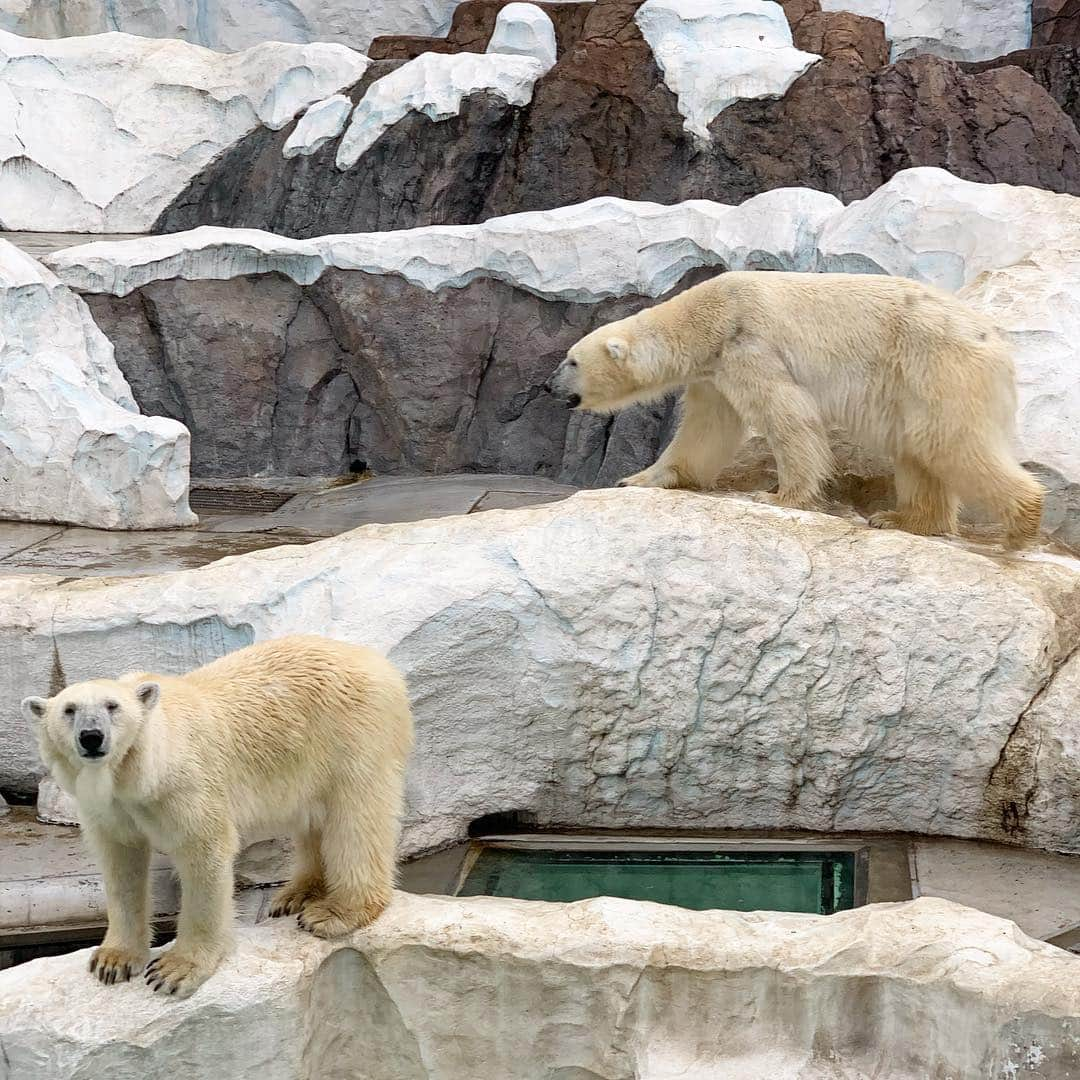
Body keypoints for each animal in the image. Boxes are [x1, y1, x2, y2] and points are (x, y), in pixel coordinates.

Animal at [26, 635, 412, 997]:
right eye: (69, 710)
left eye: (112, 706)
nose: (92, 737)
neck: (142, 773)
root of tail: (377, 662)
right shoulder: (111, 808)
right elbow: (122, 863)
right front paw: (113, 960)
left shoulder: (186, 787)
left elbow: (204, 854)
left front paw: (174, 970)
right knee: (314, 818)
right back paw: (296, 895)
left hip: (352, 733)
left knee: (356, 816)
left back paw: (334, 911)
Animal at [552, 270, 1041, 548]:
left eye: (571, 361)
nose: (548, 384)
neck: (710, 315)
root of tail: (996, 342)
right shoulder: (714, 371)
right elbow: (706, 429)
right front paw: (637, 477)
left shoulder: (749, 344)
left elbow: (787, 414)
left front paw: (778, 496)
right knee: (916, 449)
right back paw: (903, 518)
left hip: (937, 366)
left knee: (946, 440)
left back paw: (1022, 522)